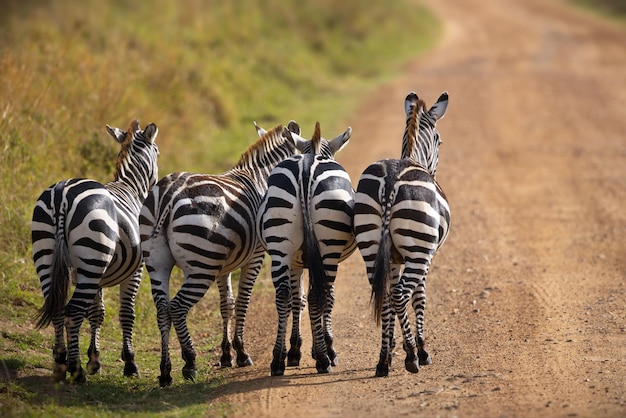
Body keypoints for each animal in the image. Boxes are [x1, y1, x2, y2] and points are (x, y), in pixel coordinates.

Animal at [32, 119, 160, 384]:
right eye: (158, 152)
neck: (130, 187)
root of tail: (61, 195)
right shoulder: (135, 270)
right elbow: (126, 313)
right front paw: (129, 363)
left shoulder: (96, 276)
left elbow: (97, 313)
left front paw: (95, 359)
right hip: (90, 260)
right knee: (72, 312)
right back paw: (75, 369)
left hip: (51, 257)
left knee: (58, 308)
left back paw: (60, 362)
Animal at [140, 122, 308, 386]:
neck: (261, 177)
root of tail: (170, 193)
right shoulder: (255, 256)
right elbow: (242, 301)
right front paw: (241, 353)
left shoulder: (224, 265)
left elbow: (226, 304)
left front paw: (227, 354)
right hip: (201, 265)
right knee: (176, 307)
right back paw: (189, 362)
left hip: (158, 263)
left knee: (162, 309)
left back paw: (165, 371)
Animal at [255, 121, 354, 376]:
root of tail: (307, 167)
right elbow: (324, 297)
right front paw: (324, 349)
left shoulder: (296, 261)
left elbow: (297, 299)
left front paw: (294, 351)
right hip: (329, 248)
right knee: (321, 295)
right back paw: (324, 358)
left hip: (281, 246)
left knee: (282, 295)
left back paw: (277, 360)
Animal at [352, 90, 448, 376]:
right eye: (439, 141)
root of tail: (391, 180)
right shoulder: (426, 257)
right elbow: (419, 298)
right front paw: (419, 348)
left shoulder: (392, 259)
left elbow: (393, 299)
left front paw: (392, 346)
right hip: (418, 252)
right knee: (401, 294)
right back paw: (413, 357)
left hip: (370, 248)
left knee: (386, 296)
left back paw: (383, 361)